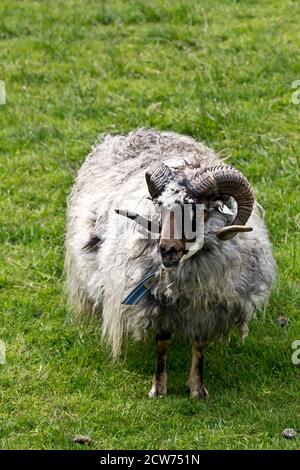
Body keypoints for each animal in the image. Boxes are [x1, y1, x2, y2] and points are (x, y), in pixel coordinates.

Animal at [65, 127, 276, 396]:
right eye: (160, 209)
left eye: (199, 212)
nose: (166, 250)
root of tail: (135, 132)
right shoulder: (158, 305)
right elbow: (163, 345)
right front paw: (158, 388)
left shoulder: (207, 309)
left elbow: (199, 345)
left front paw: (197, 388)